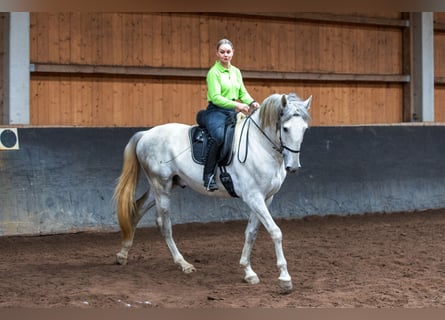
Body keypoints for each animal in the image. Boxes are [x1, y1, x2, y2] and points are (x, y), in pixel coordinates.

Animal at [112, 92, 310, 292]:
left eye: (304, 129)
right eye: (285, 128)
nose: (293, 167)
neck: (260, 146)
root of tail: (146, 134)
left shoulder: (266, 198)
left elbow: (251, 232)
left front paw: (248, 271)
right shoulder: (254, 197)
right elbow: (275, 232)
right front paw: (284, 278)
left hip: (161, 187)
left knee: (137, 210)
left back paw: (123, 254)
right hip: (161, 186)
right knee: (164, 224)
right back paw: (183, 264)